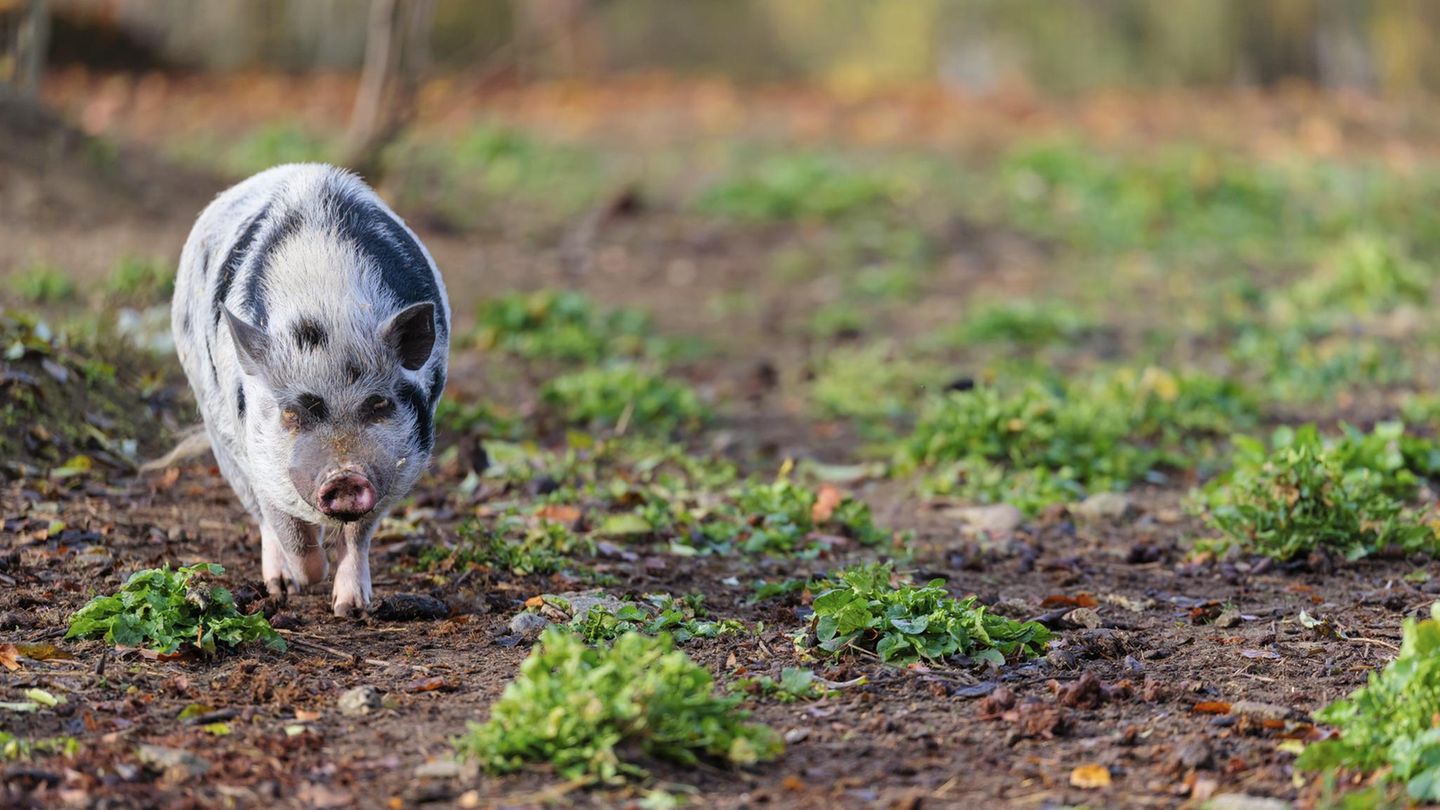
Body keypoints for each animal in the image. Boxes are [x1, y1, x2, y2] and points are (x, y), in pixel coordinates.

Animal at [171, 163, 450, 616]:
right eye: (291, 412)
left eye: (379, 404)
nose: (345, 476)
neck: (329, 311)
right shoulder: (260, 454)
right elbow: (288, 529)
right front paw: (303, 581)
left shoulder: (397, 465)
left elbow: (359, 535)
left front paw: (350, 608)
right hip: (218, 430)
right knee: (261, 517)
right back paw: (280, 585)